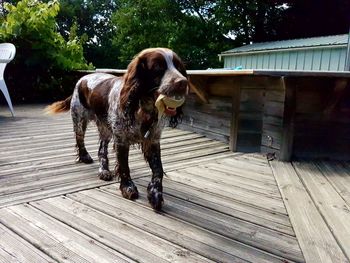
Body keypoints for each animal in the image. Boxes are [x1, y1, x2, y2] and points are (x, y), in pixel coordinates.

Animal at [47, 48, 189, 211]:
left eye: (178, 67)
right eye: (158, 67)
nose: (183, 82)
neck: (141, 108)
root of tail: (82, 79)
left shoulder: (153, 139)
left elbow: (158, 169)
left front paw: (155, 193)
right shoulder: (121, 139)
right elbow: (124, 166)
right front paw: (128, 187)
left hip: (105, 129)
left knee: (101, 150)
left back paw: (104, 170)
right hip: (79, 119)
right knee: (80, 139)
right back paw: (85, 157)